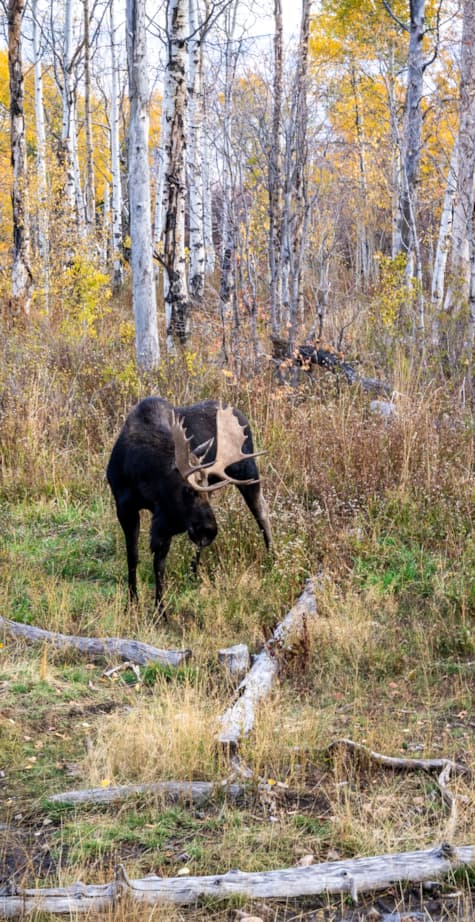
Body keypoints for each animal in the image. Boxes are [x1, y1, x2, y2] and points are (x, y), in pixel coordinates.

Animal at [107, 397, 272, 616]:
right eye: (188, 490)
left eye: (204, 488)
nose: (209, 530)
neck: (141, 478)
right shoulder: (125, 507)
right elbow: (132, 558)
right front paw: (132, 603)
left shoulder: (164, 519)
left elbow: (159, 565)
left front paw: (161, 610)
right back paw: (194, 571)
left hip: (247, 471)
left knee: (262, 512)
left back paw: (273, 558)